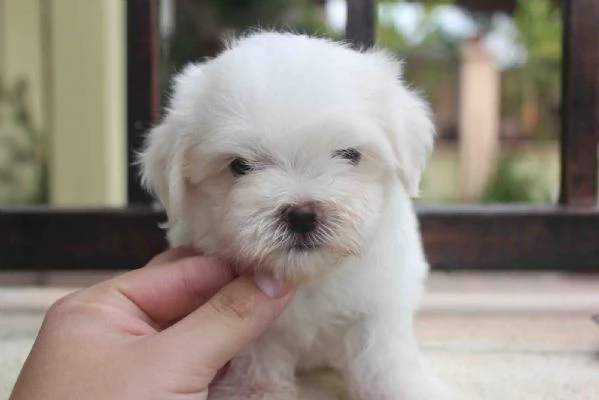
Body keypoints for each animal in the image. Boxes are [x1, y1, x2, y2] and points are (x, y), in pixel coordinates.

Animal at [139, 32, 450, 400]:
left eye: (350, 154)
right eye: (239, 166)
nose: (302, 214)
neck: (306, 279)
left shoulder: (379, 300)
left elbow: (383, 356)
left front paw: (406, 387)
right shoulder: (258, 331)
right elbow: (257, 354)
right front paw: (255, 390)